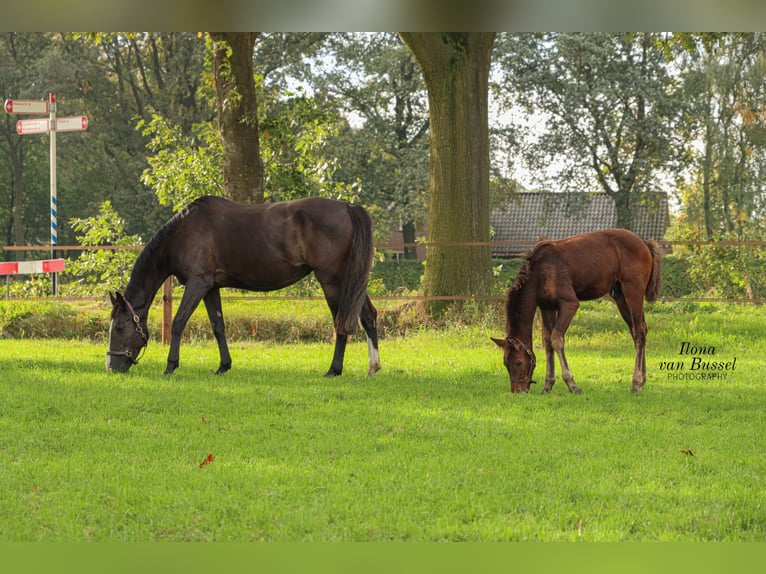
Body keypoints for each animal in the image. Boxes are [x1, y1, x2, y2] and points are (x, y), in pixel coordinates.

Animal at [106, 196, 382, 380]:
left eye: (119, 327)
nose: (111, 366)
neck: (183, 233)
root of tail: (347, 207)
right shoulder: (210, 288)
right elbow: (218, 326)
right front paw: (223, 366)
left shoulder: (198, 283)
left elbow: (178, 322)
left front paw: (171, 366)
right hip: (350, 282)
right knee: (368, 316)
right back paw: (373, 368)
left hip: (332, 281)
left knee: (341, 321)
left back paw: (334, 369)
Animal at [496, 230, 664, 396]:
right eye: (505, 363)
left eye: (518, 362)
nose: (518, 390)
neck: (540, 272)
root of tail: (644, 243)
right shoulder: (547, 307)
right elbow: (548, 341)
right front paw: (548, 384)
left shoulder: (569, 303)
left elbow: (556, 338)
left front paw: (572, 384)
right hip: (620, 296)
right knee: (638, 330)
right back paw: (642, 380)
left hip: (633, 292)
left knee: (640, 331)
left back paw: (636, 383)